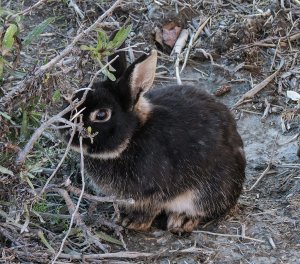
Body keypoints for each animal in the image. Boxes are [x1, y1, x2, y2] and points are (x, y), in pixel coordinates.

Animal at [59, 48, 245, 233]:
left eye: (101, 115)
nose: (63, 129)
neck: (132, 137)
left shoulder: (156, 191)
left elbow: (151, 208)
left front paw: (133, 222)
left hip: (206, 192)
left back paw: (182, 220)